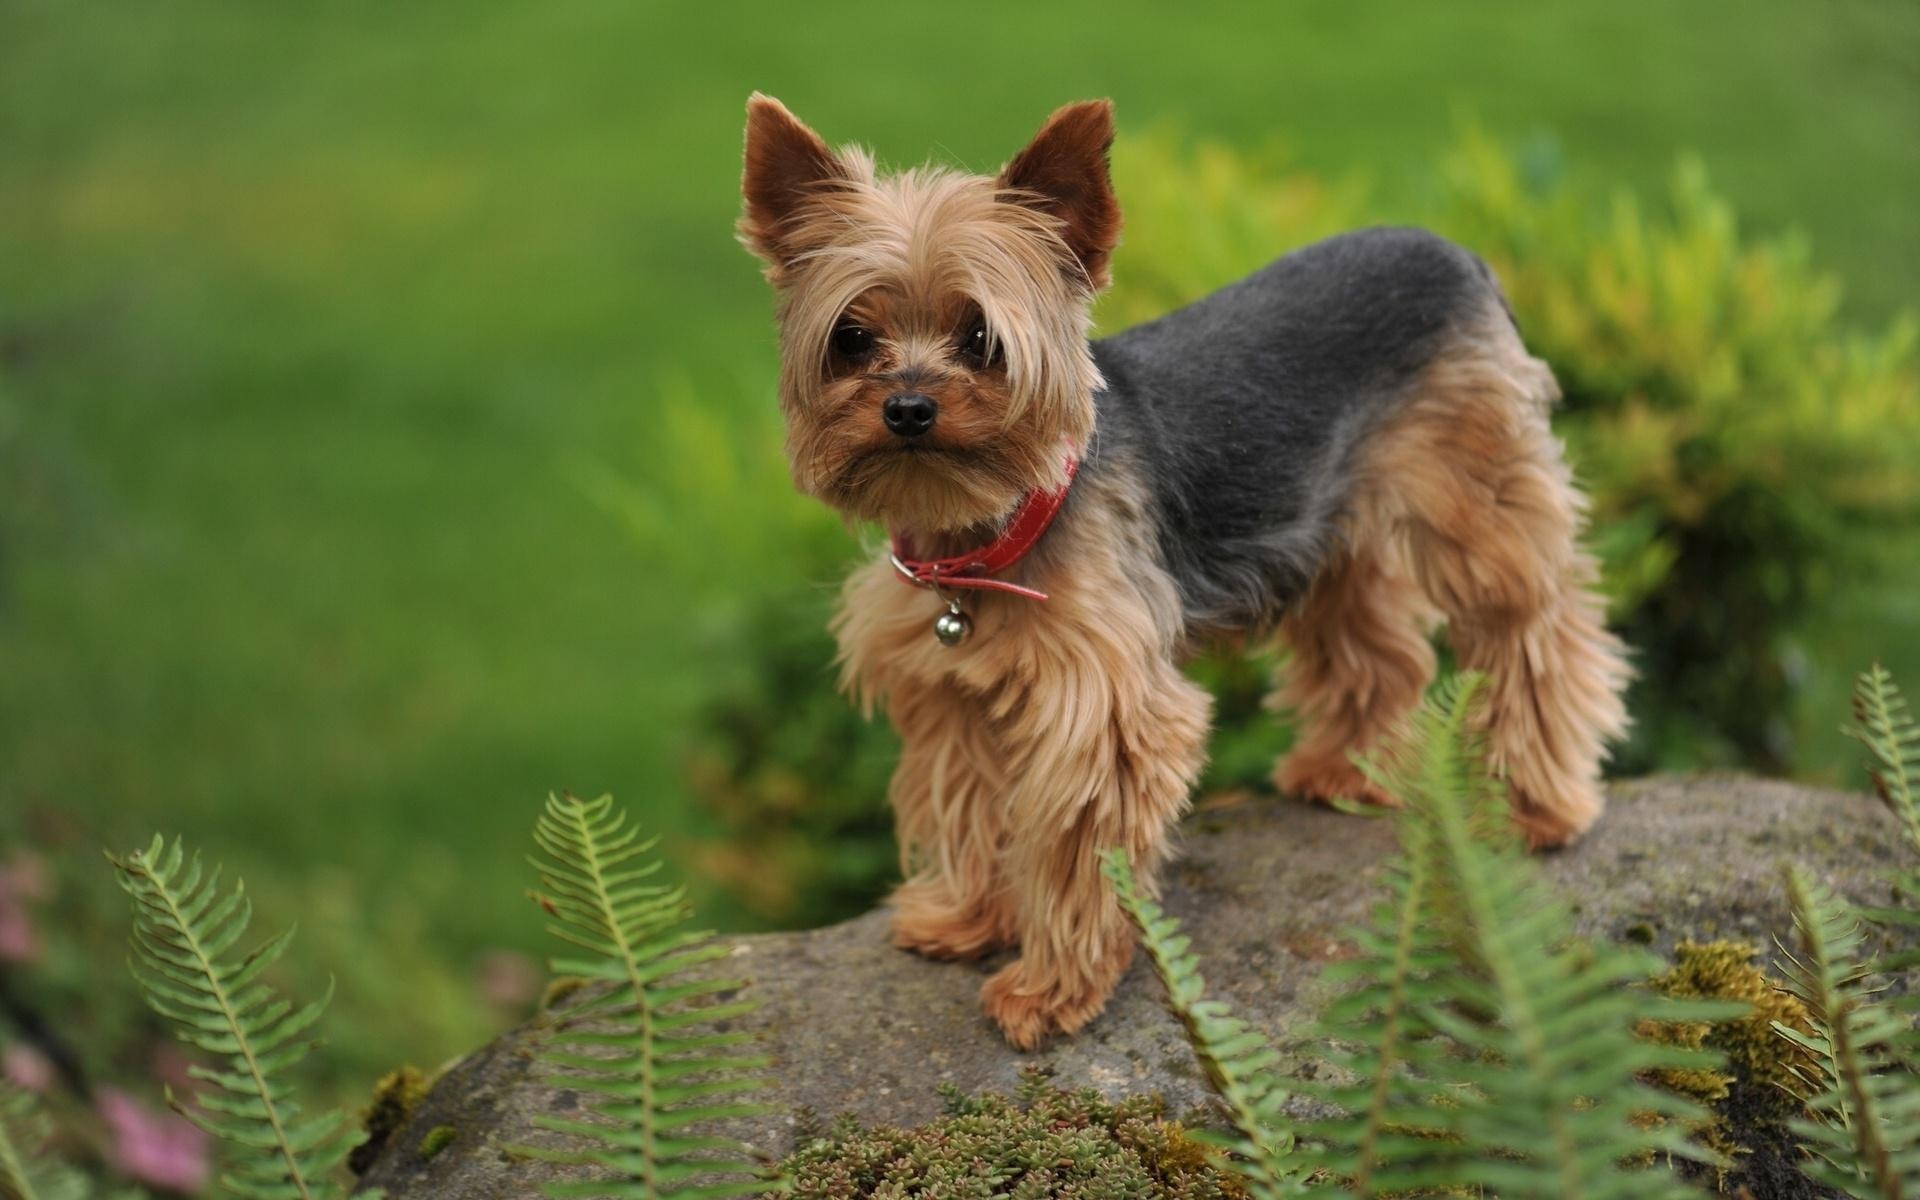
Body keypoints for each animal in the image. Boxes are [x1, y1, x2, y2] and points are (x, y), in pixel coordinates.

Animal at [741, 96, 1628, 1044]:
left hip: (1474, 496)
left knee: (1535, 625)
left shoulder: (1102, 707)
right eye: (851, 337)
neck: (984, 530)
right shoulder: (946, 691)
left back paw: (1538, 806)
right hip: (1326, 515)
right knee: (1373, 636)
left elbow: (1077, 847)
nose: (907, 406)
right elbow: (966, 803)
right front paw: (967, 918)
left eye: (982, 338)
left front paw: (1049, 990)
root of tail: (1459, 253)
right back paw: (1345, 772)